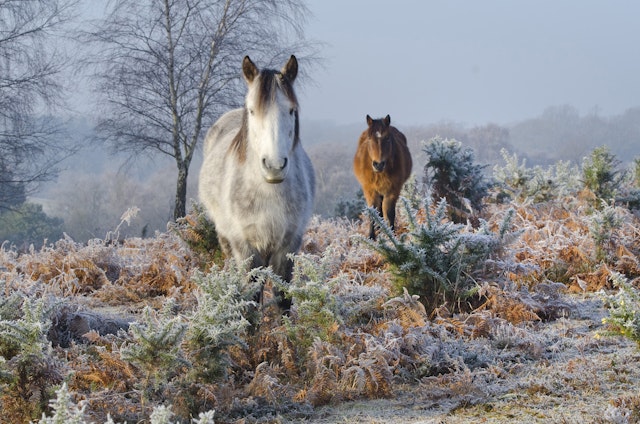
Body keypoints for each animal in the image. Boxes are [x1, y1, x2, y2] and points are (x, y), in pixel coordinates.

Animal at [198, 55, 315, 310]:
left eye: (291, 110)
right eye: (252, 111)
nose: (274, 166)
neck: (269, 194)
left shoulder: (289, 245)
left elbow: (283, 298)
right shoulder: (246, 247)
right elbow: (250, 296)